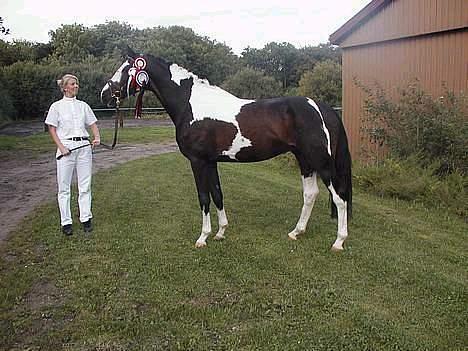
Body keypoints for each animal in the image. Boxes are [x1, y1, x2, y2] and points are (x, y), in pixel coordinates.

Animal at [101, 50, 352, 253]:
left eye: (125, 69)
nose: (105, 94)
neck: (190, 104)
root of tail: (322, 108)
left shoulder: (197, 161)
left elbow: (203, 197)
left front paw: (203, 237)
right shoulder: (211, 161)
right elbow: (217, 194)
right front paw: (221, 232)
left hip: (321, 162)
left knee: (339, 197)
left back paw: (339, 241)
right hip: (305, 161)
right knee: (310, 194)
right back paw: (296, 232)